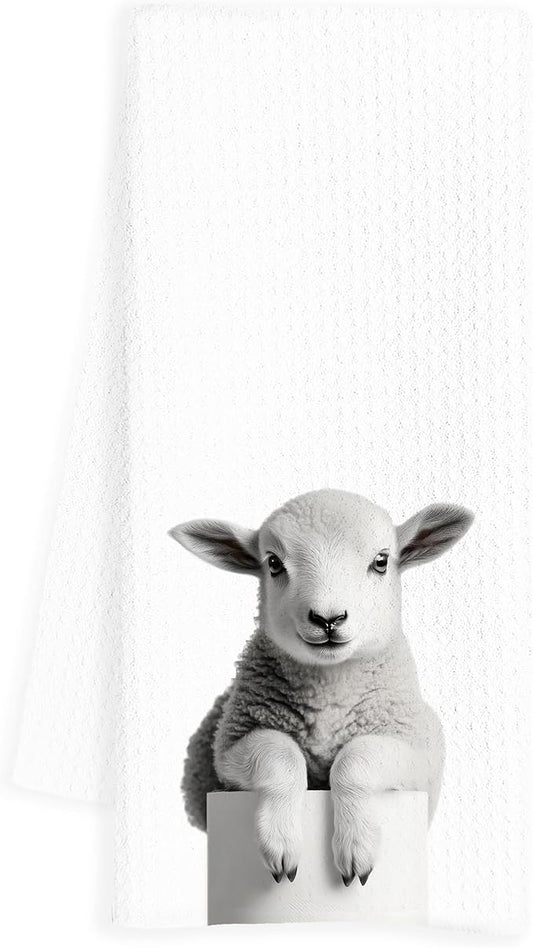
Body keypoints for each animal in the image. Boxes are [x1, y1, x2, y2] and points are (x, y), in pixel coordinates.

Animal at [169, 489, 473, 886]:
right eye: (273, 563)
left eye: (381, 562)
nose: (328, 619)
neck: (329, 692)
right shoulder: (230, 748)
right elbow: (279, 753)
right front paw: (281, 845)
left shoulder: (417, 751)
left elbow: (357, 758)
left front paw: (356, 848)